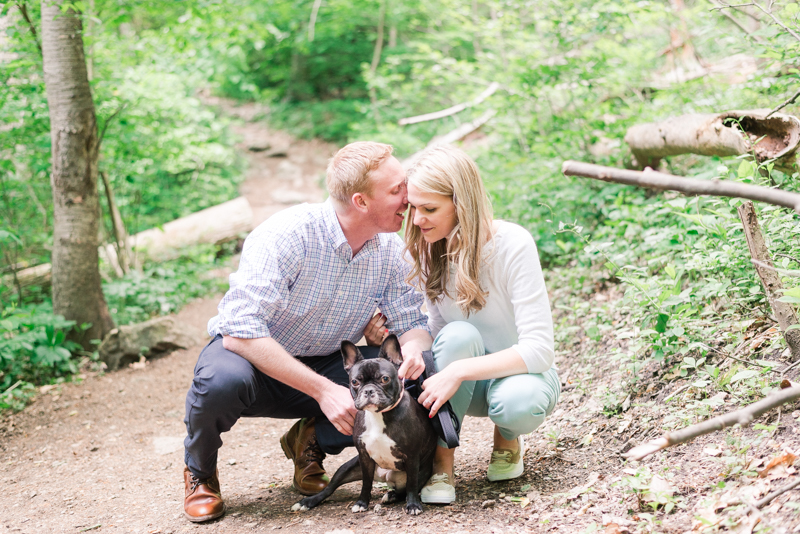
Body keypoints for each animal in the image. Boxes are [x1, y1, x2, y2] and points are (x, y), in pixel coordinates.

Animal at [290, 338, 438, 516]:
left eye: (385, 379)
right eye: (355, 381)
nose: (368, 390)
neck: (377, 415)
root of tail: (385, 476)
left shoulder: (412, 457)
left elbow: (411, 485)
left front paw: (414, 505)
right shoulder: (364, 457)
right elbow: (366, 483)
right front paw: (361, 503)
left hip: (423, 471)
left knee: (406, 488)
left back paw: (392, 495)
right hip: (346, 468)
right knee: (329, 488)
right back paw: (307, 502)